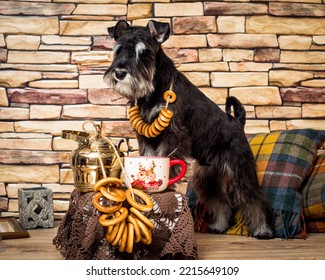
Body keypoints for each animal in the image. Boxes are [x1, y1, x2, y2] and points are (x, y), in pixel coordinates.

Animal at [105, 20, 272, 238]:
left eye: (144, 52)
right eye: (118, 50)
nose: (119, 73)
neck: (154, 88)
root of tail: (238, 122)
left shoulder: (174, 134)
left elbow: (168, 161)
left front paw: (164, 188)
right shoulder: (145, 137)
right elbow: (148, 156)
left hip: (240, 168)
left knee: (253, 198)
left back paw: (263, 230)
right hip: (208, 175)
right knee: (221, 200)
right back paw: (219, 226)